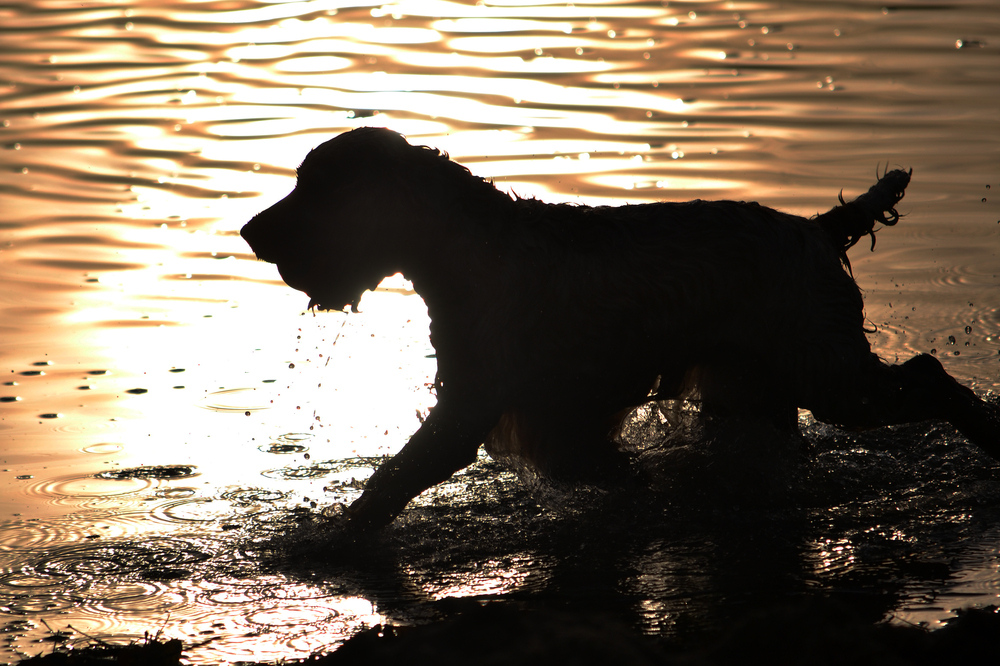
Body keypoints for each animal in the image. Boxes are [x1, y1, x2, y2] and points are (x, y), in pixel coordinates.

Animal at [242, 127, 1000, 532]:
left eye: (316, 187)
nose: (249, 232)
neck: (467, 248)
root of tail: (814, 230)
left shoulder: (471, 407)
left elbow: (392, 480)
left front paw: (324, 545)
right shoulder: (552, 423)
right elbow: (597, 465)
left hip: (830, 374)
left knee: (930, 375)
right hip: (756, 390)